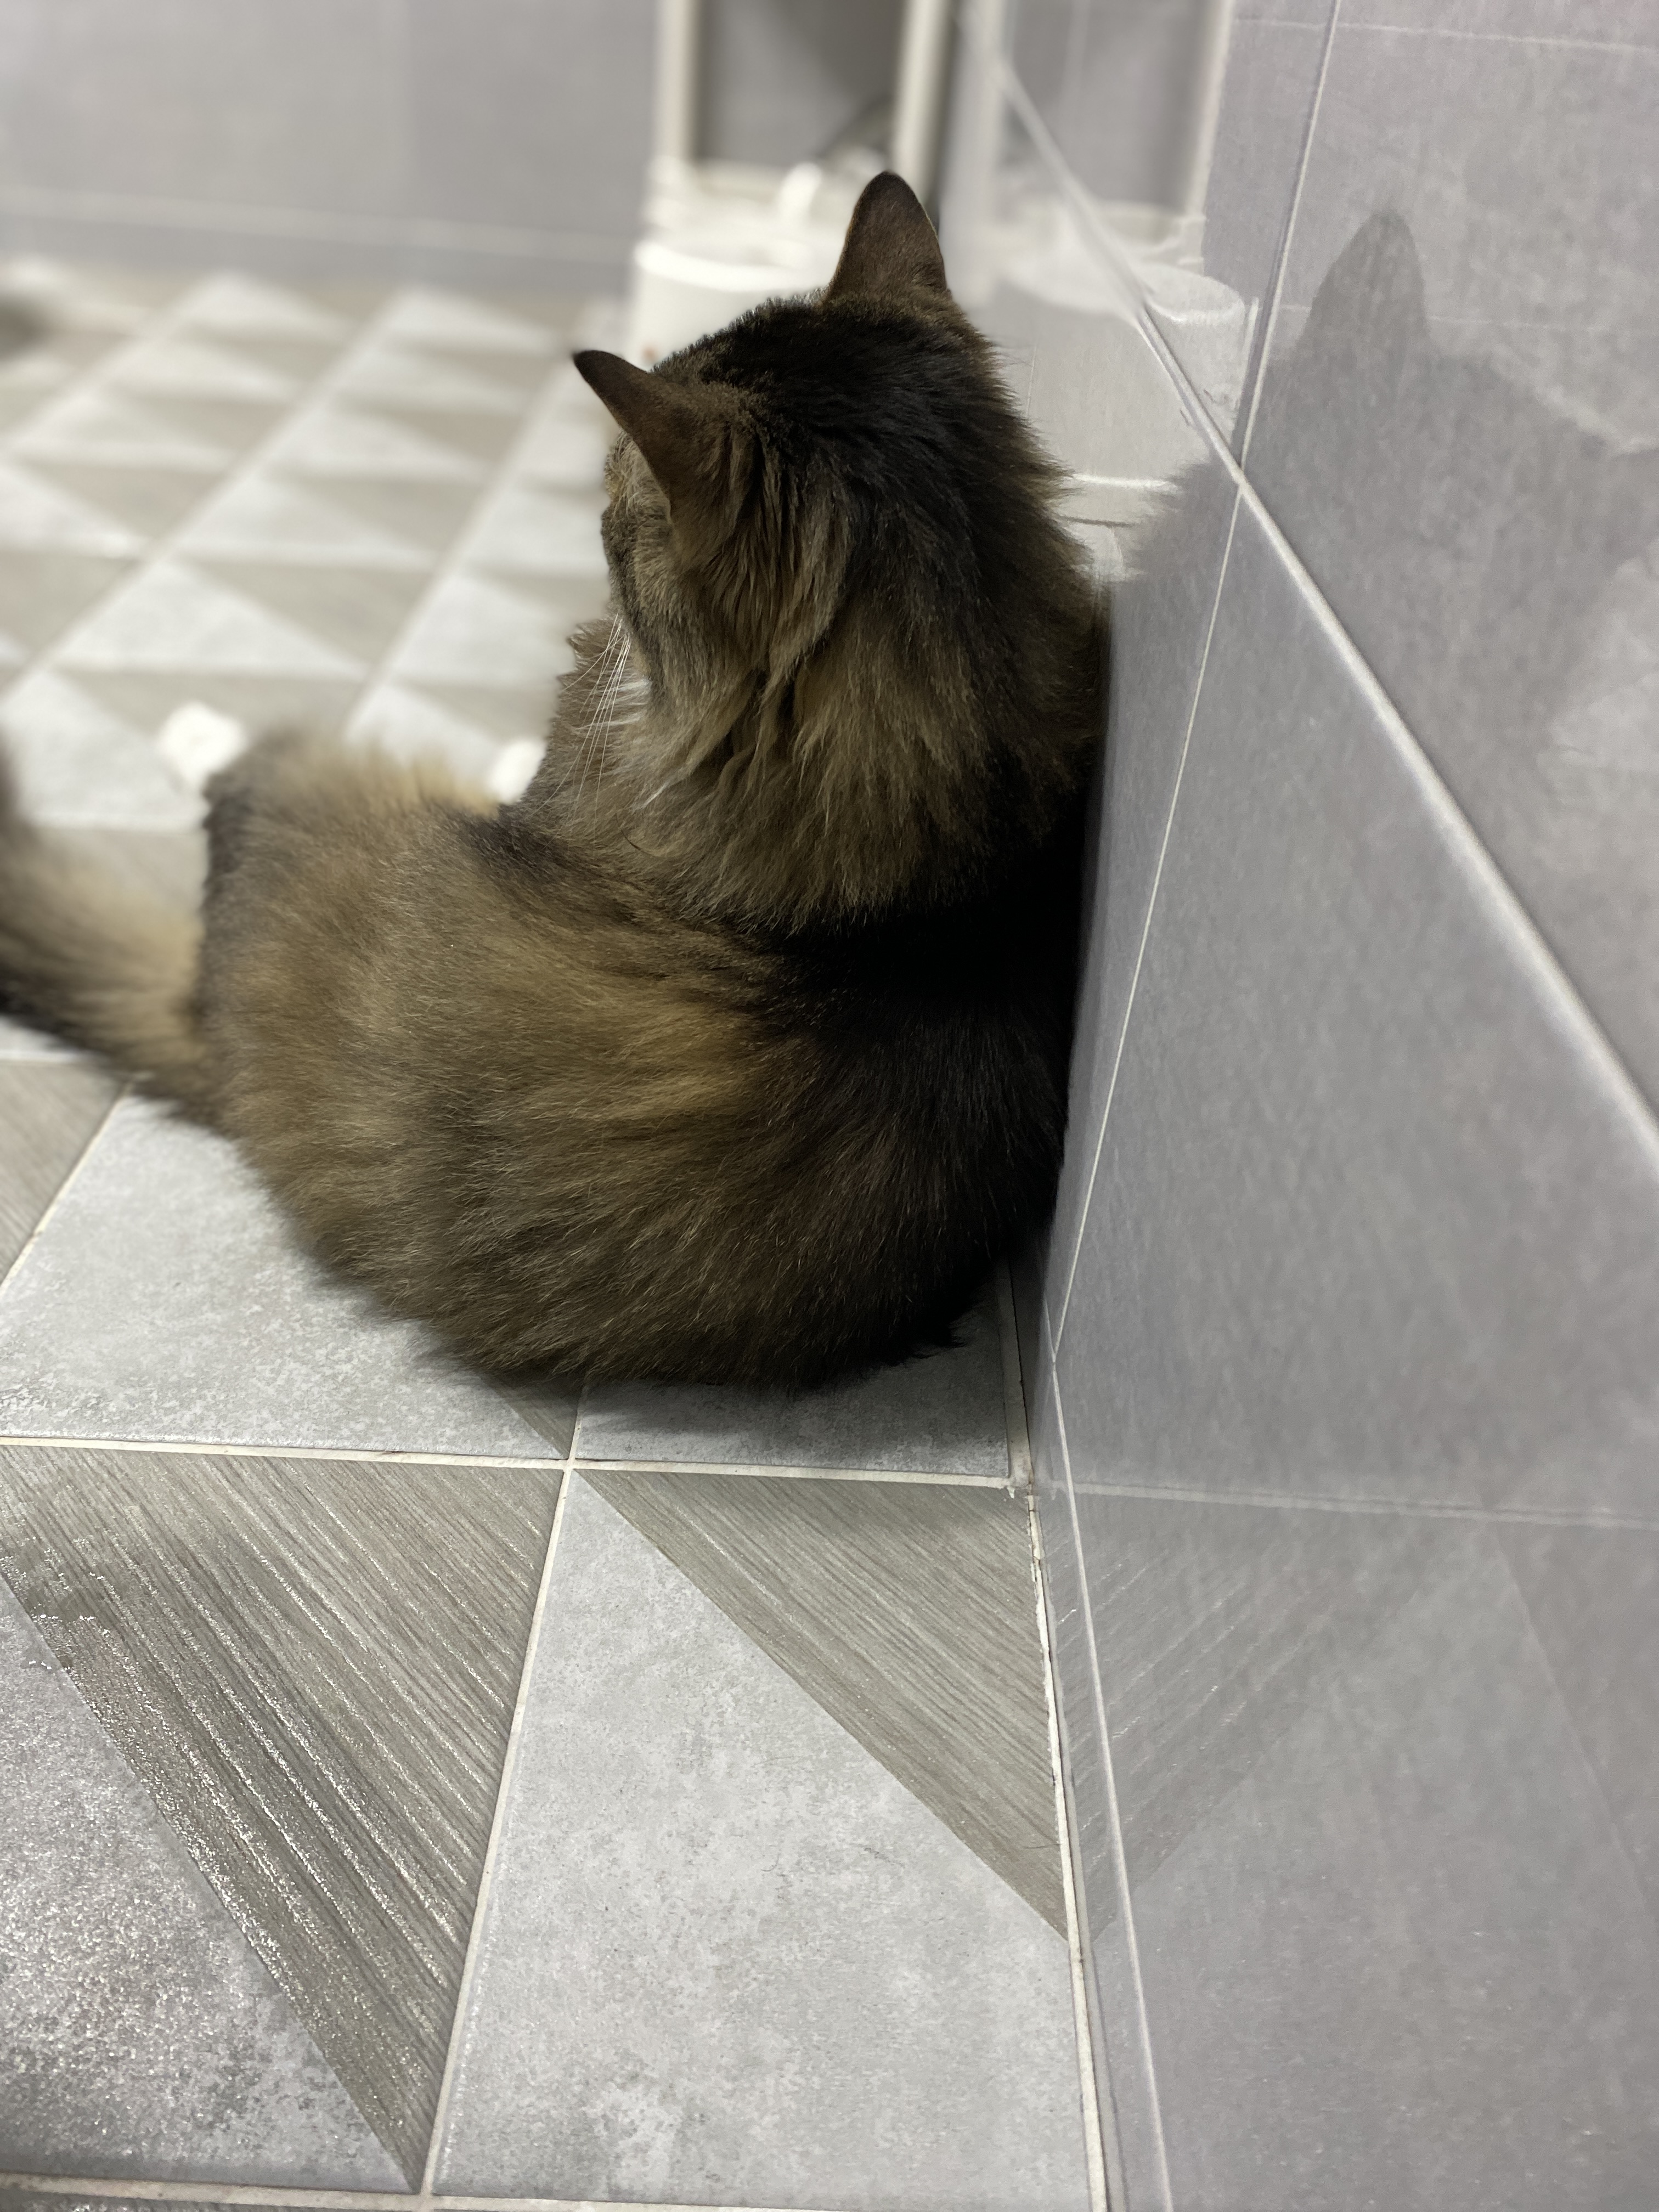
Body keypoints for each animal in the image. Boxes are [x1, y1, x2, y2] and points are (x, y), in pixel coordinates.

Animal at [0, 175, 1103, 1388]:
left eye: (618, 499)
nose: (596, 517)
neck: (930, 900)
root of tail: (215, 1042)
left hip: (302, 799)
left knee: (232, 774)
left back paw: (200, 729)